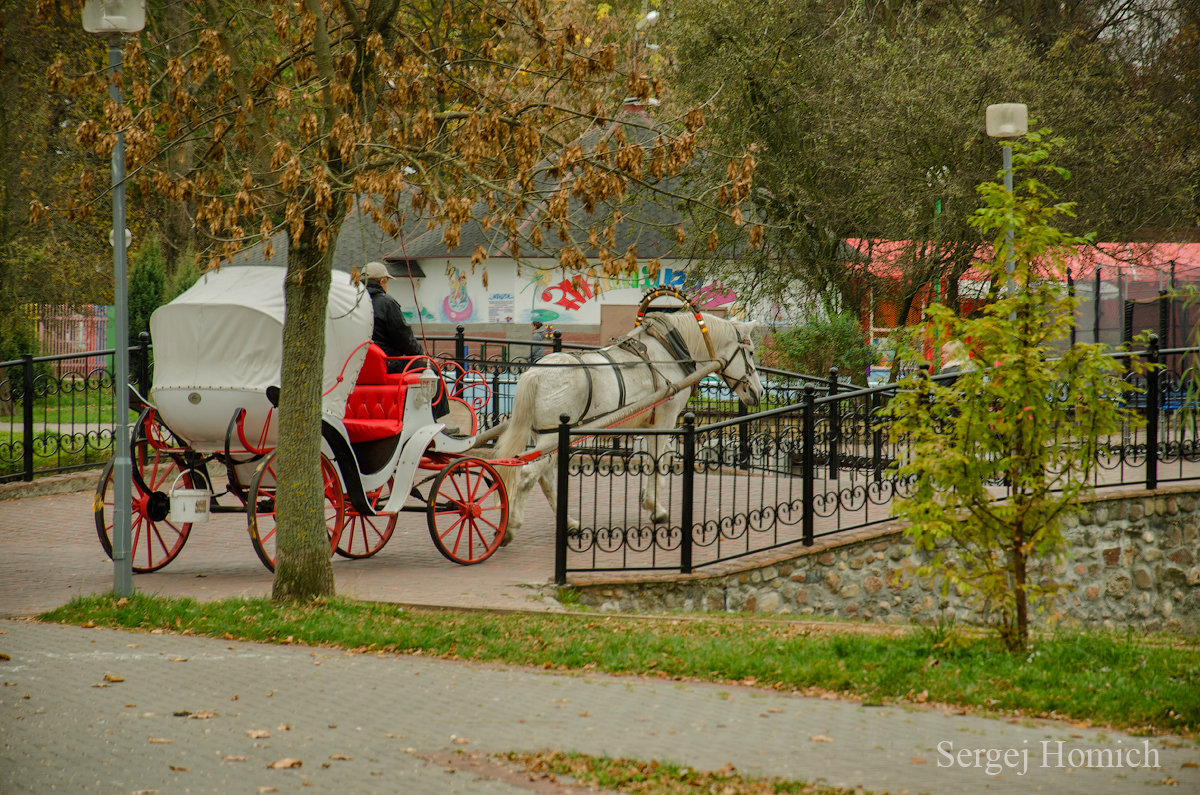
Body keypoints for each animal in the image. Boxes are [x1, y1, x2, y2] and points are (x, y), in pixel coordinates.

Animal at [492, 312, 763, 542]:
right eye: (750, 351)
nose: (759, 392)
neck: (669, 352)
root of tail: (535, 374)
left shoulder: (651, 424)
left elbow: (657, 458)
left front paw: (650, 501)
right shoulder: (666, 417)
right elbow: (658, 461)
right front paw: (656, 508)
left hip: (547, 439)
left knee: (545, 477)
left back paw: (569, 523)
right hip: (551, 439)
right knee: (528, 473)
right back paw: (510, 527)